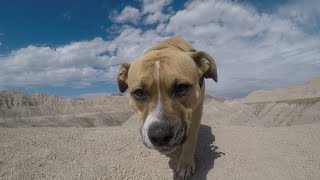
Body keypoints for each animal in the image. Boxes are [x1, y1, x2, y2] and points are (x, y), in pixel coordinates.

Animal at [117, 37, 218, 179]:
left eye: (181, 87)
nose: (160, 135)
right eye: (139, 92)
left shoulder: (197, 110)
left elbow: (191, 139)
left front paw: (185, 163)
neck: (163, 49)